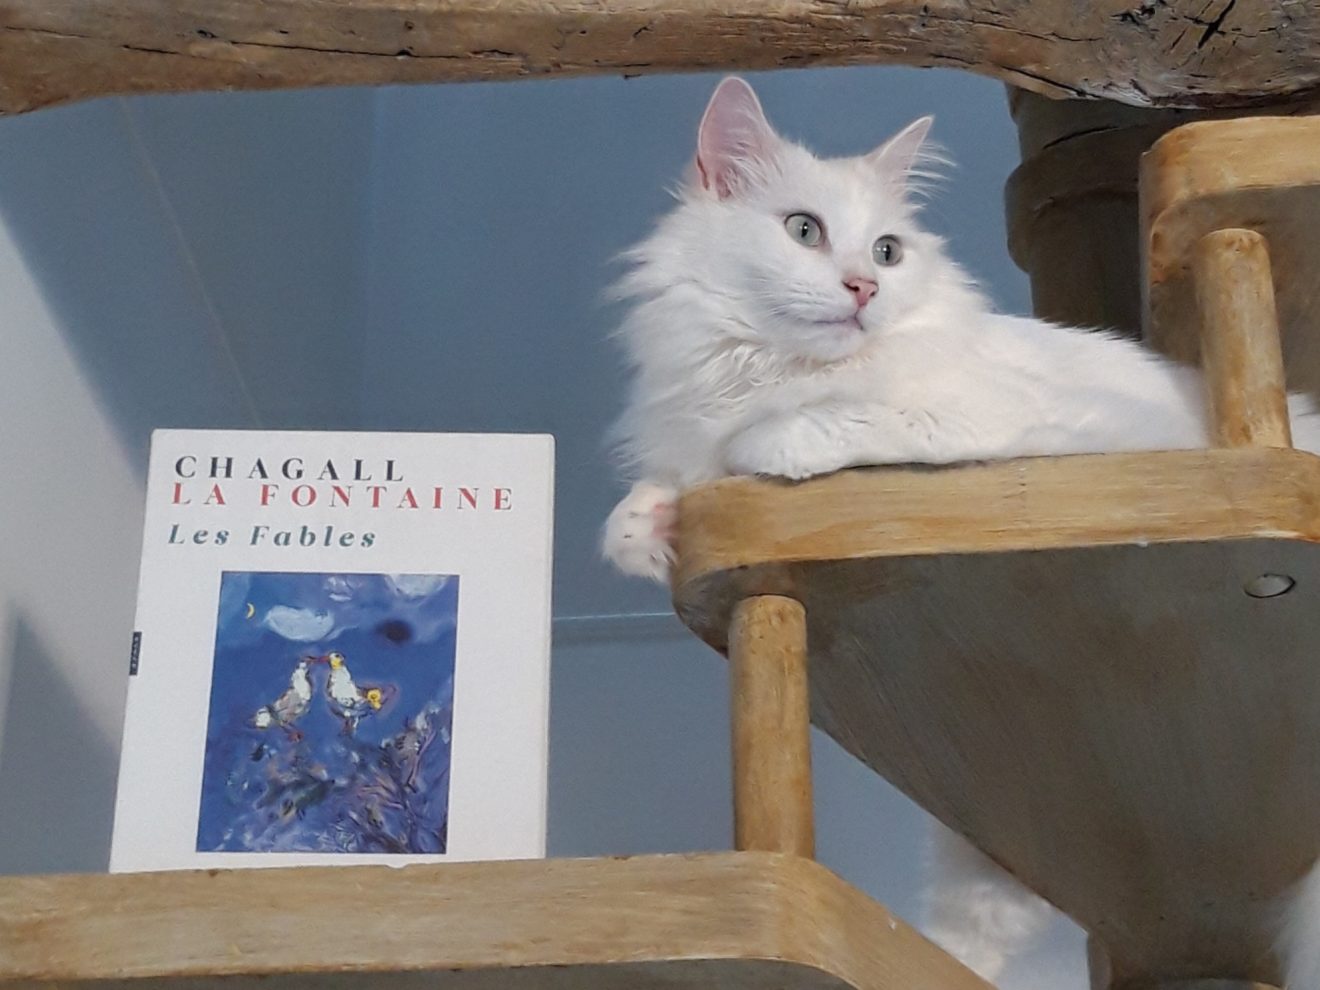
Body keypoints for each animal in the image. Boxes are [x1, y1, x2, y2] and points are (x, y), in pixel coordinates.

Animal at [601, 75, 1320, 985]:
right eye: (804, 231)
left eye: (886, 252)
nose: (863, 290)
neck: (762, 372)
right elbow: (660, 489)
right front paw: (642, 523)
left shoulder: (1009, 424)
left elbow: (839, 423)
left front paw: (766, 444)